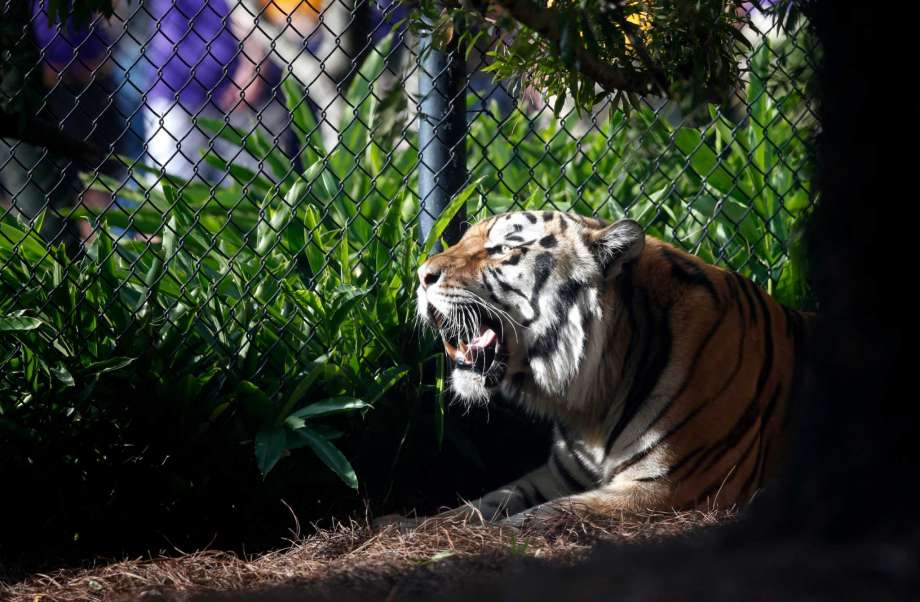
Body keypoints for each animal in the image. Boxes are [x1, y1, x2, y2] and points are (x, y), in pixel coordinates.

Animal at [414, 209, 808, 524]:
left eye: (503, 249)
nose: (421, 275)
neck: (591, 403)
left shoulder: (667, 487)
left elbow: (542, 514)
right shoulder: (556, 476)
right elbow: (485, 502)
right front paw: (417, 526)